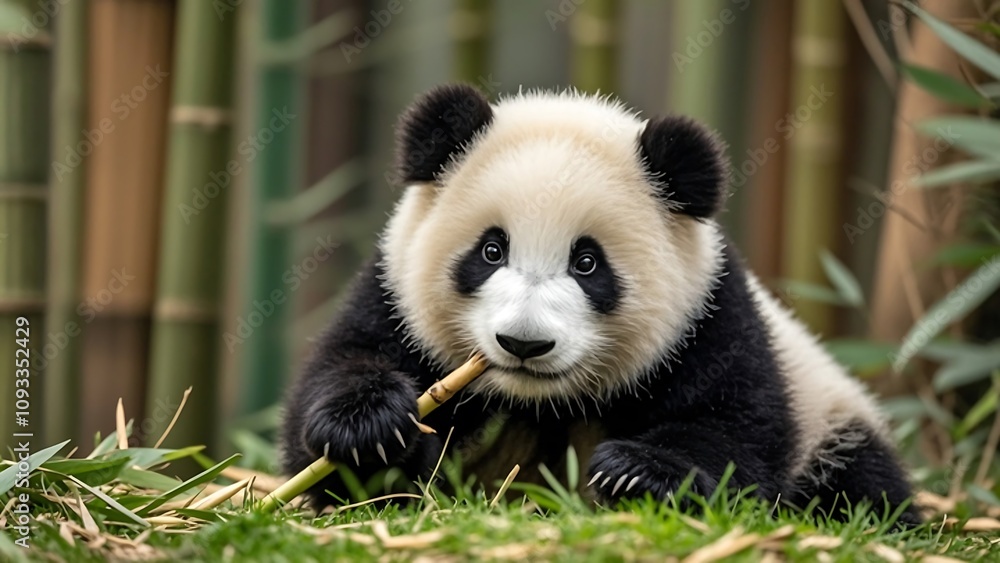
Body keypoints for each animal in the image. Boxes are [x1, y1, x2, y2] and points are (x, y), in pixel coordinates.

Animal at [281, 84, 919, 525]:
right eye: (491, 250)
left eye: (587, 264)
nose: (524, 343)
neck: (539, 404)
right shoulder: (392, 293)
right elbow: (342, 388)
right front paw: (368, 426)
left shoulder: (711, 318)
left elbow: (735, 430)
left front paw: (636, 471)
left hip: (832, 419)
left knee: (859, 489)